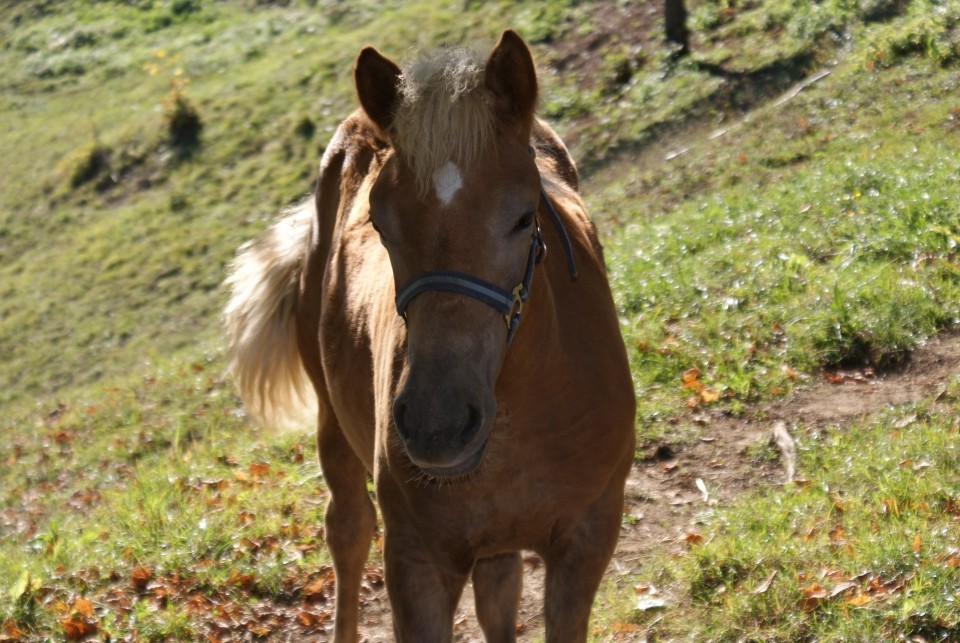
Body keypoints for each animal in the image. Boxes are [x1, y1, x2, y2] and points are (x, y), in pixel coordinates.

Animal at [225, 28, 636, 640]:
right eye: (380, 222)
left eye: (523, 216)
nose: (435, 425)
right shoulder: (416, 562)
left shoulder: (587, 539)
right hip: (333, 426)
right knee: (348, 531)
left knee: (497, 589)